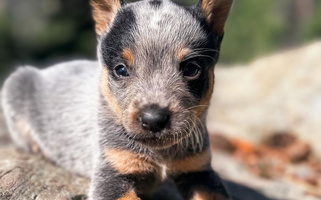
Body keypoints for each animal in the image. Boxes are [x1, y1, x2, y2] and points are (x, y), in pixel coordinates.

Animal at [1, 0, 232, 199]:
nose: (154, 119)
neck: (160, 154)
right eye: (120, 69)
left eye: (192, 69)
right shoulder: (112, 172)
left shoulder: (199, 171)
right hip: (15, 84)